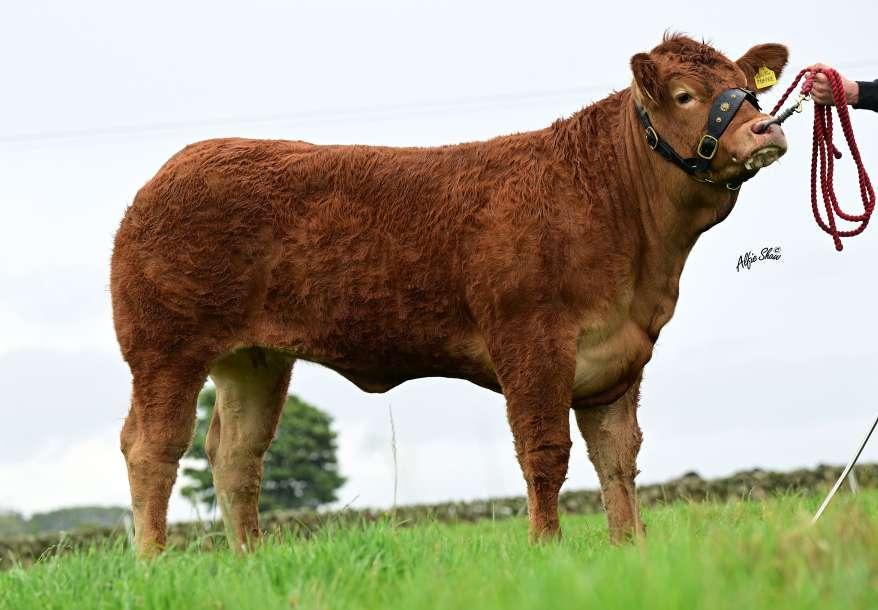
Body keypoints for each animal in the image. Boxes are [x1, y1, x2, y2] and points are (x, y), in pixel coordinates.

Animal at [111, 34, 788, 557]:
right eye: (684, 95)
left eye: (746, 87)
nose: (765, 128)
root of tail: (175, 168)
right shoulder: (531, 341)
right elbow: (545, 450)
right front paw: (547, 547)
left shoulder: (619, 356)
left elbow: (617, 458)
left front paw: (630, 547)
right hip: (164, 347)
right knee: (153, 447)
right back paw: (153, 561)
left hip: (253, 359)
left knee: (235, 454)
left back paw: (249, 558)